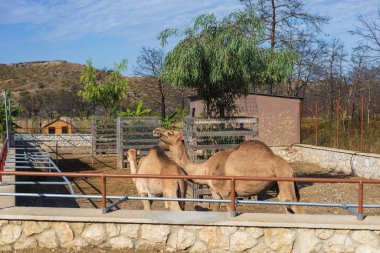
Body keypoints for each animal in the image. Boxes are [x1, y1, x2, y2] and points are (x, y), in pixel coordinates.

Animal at [153, 128, 304, 213]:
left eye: (170, 132)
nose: (156, 130)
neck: (205, 169)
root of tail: (290, 168)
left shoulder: (227, 193)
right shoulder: (215, 193)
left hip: (284, 178)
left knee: (293, 204)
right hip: (278, 184)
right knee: (287, 205)